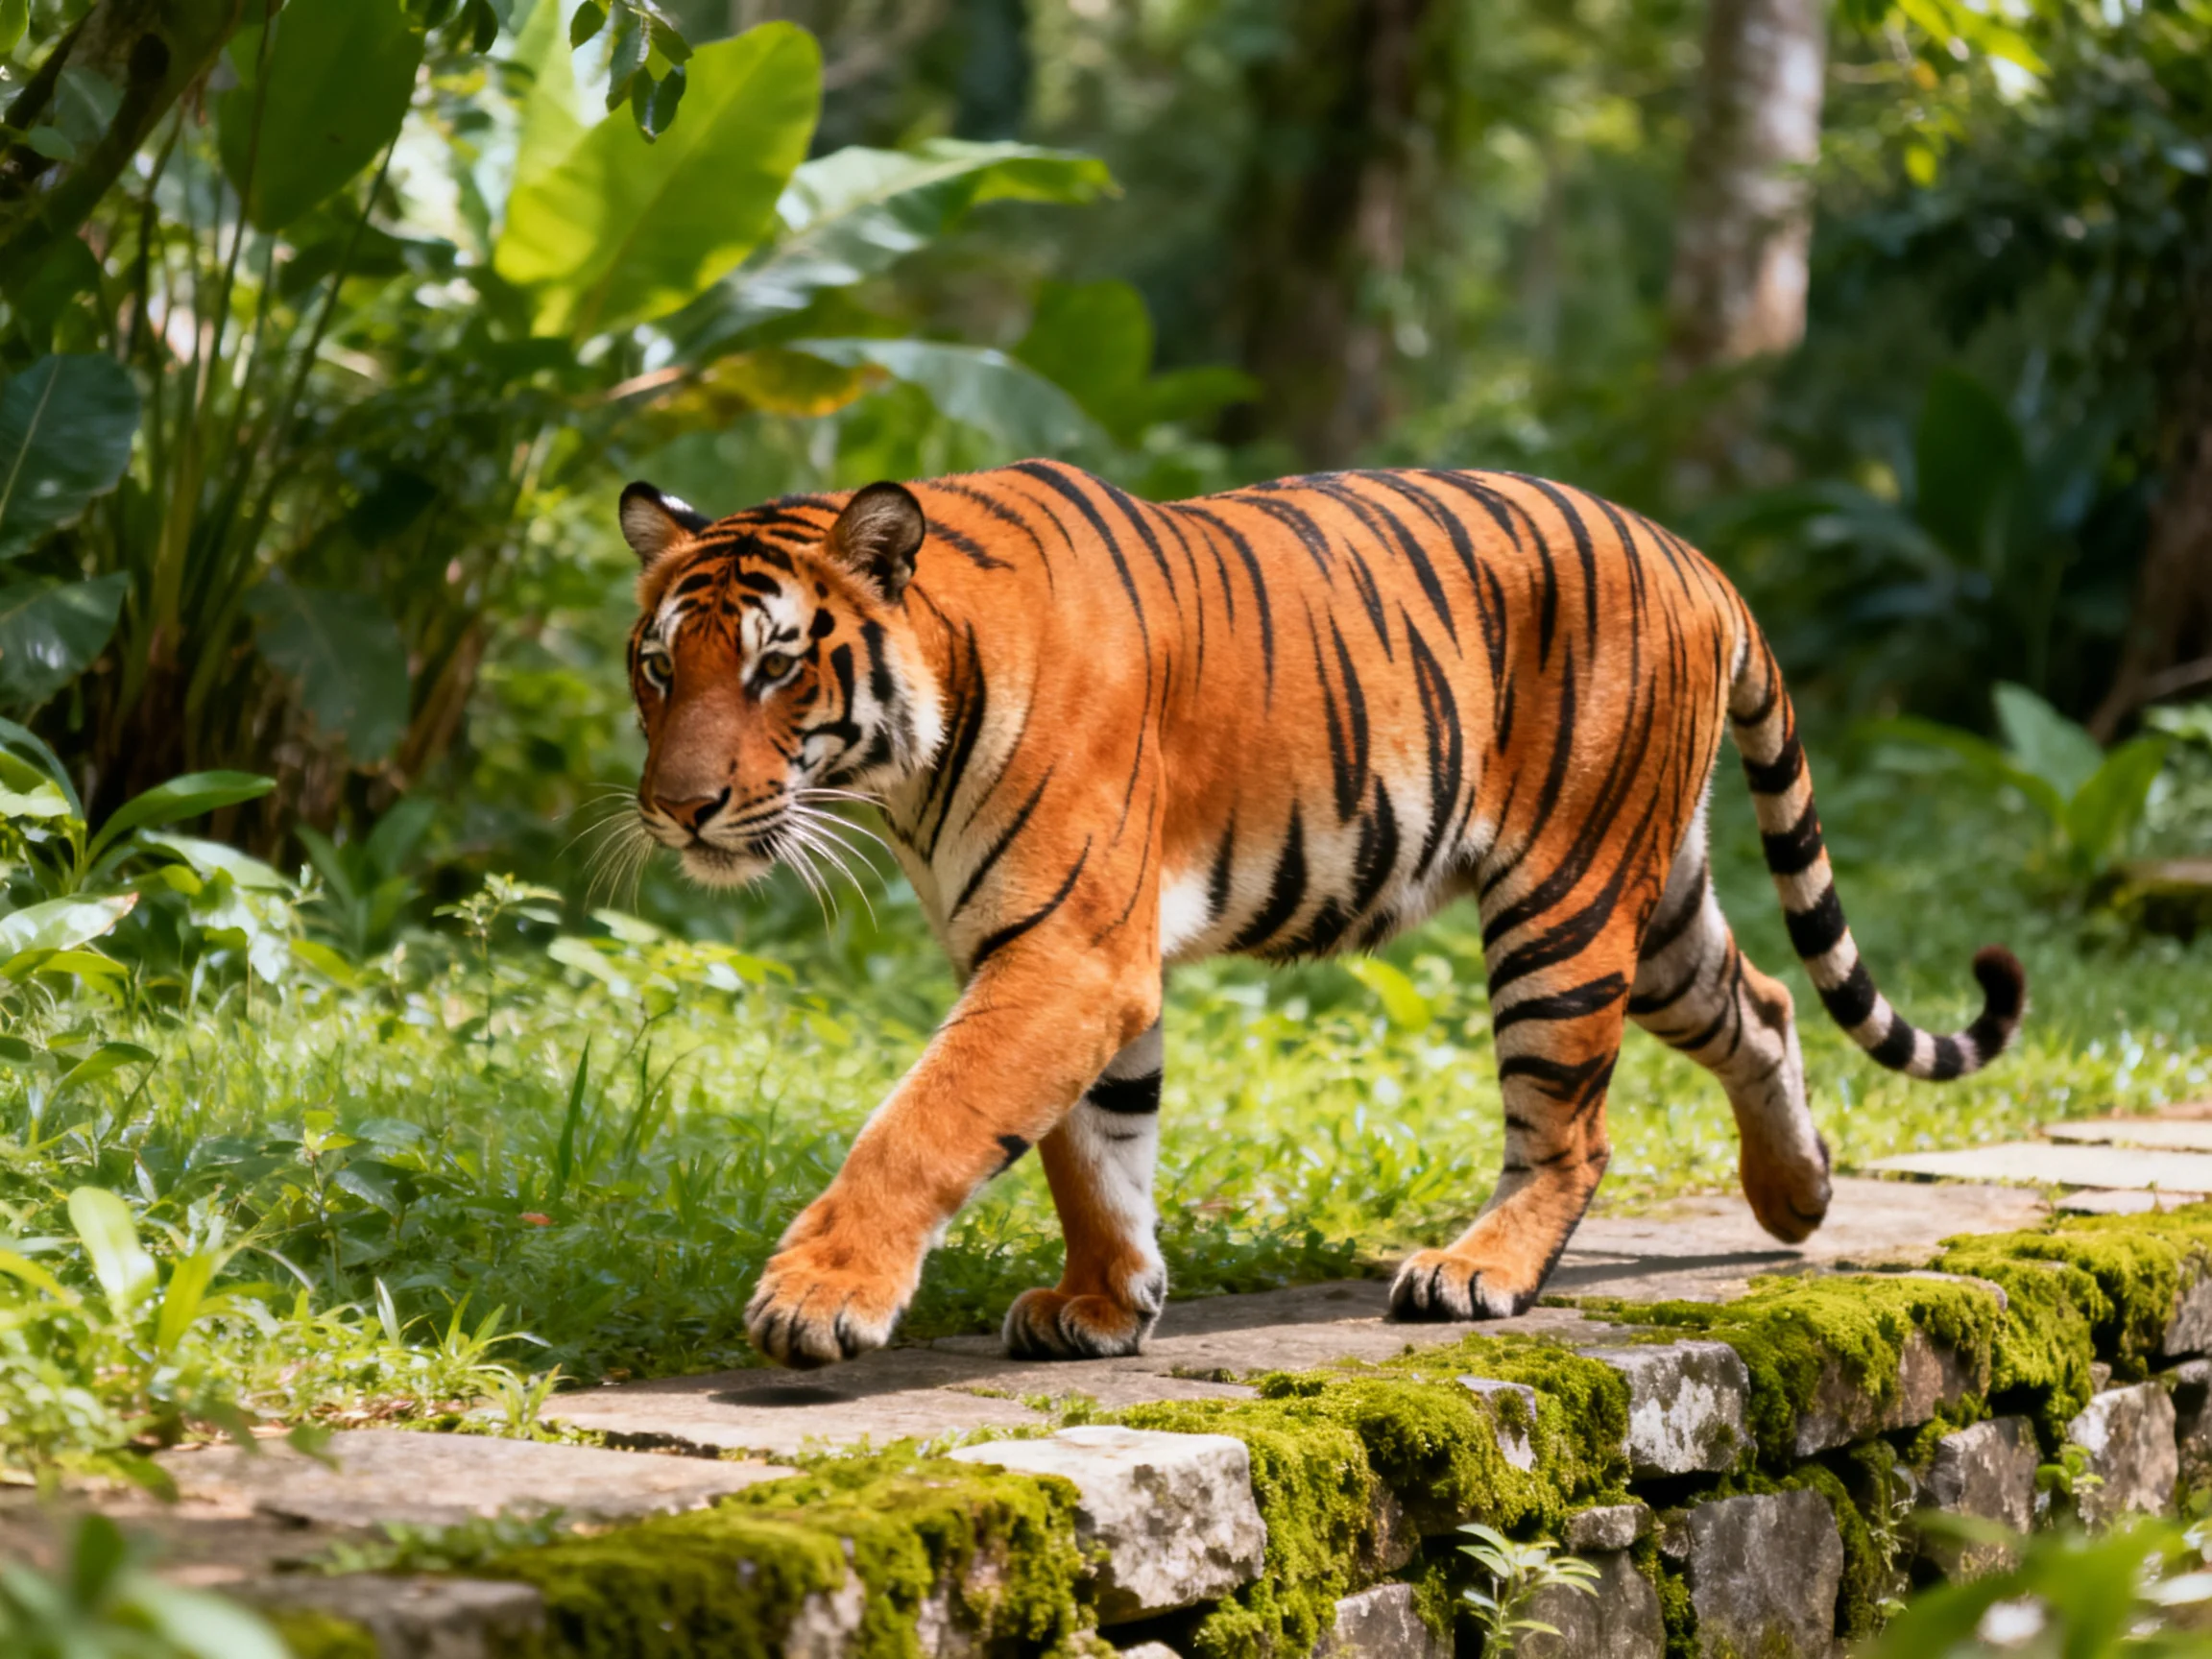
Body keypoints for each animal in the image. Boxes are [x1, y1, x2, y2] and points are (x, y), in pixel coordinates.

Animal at [618, 461, 2025, 1369]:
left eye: (776, 666)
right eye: (658, 667)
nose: (678, 810)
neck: (907, 761)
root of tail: (1694, 554)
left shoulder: (1067, 957)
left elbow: (928, 1124)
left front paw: (819, 1295)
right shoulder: (1067, 958)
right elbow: (1093, 1148)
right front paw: (1107, 1301)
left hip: (1561, 906)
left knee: (1571, 1130)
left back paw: (1477, 1272)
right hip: (1655, 898)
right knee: (1768, 1003)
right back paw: (1800, 1195)